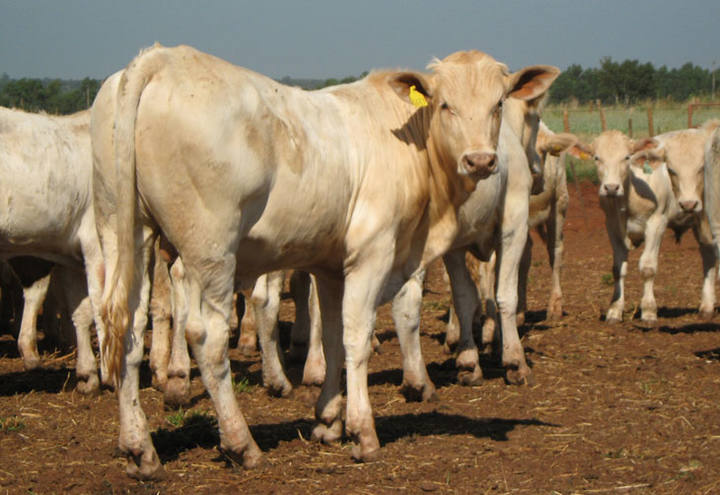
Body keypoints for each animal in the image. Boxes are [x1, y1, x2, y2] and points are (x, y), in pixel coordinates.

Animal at [91, 44, 564, 478]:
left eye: (498, 103)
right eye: (445, 104)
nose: (481, 160)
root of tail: (163, 58)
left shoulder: (332, 266)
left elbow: (334, 335)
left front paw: (329, 421)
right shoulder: (373, 255)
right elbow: (357, 338)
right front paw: (362, 432)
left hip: (125, 232)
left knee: (127, 332)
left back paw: (139, 449)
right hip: (210, 251)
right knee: (207, 340)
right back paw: (241, 444)